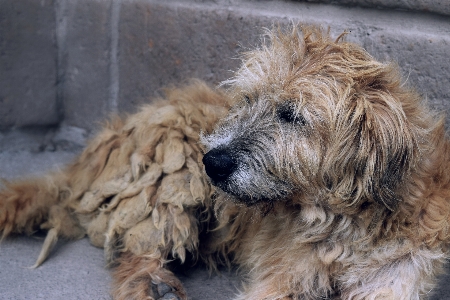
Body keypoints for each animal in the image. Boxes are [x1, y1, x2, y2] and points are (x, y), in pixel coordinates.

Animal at [0, 25, 450, 300]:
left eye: (291, 115)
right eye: (247, 100)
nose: (212, 162)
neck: (345, 222)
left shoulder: (395, 277)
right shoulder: (280, 280)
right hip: (170, 172)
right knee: (137, 251)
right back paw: (152, 284)